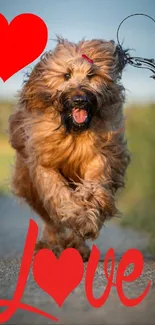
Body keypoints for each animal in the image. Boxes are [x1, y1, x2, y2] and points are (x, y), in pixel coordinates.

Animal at [8, 38, 130, 260]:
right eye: (66, 75)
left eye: (91, 75)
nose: (79, 99)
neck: (73, 132)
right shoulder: (44, 163)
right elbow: (57, 192)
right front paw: (75, 214)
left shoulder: (99, 155)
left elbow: (94, 186)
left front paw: (86, 219)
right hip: (28, 184)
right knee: (50, 218)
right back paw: (52, 244)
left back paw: (77, 246)